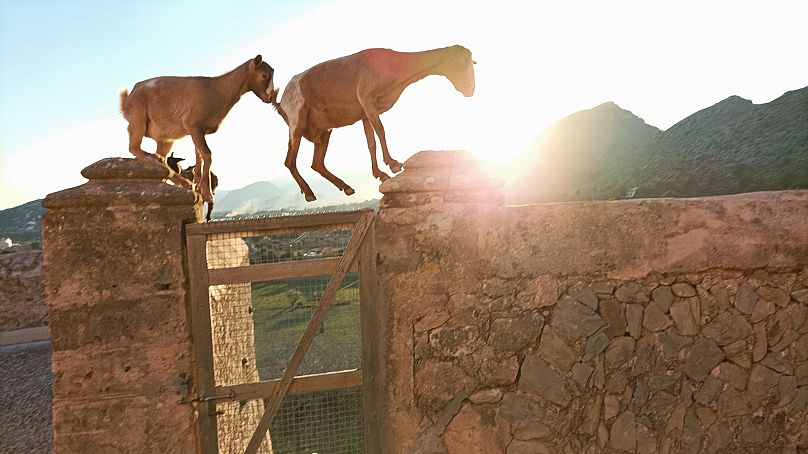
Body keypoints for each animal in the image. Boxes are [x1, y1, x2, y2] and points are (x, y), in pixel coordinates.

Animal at [120, 56, 278, 204]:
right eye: (264, 75)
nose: (270, 98)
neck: (217, 90)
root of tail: (127, 99)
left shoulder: (199, 131)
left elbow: (199, 155)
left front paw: (197, 184)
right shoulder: (193, 125)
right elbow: (207, 154)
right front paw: (207, 194)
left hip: (165, 137)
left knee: (162, 158)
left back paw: (181, 180)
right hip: (138, 117)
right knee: (134, 147)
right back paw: (155, 160)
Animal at [276, 44, 476, 200]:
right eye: (461, 64)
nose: (470, 89)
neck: (393, 65)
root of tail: (281, 102)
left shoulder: (365, 112)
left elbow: (370, 142)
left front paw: (380, 173)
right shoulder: (366, 98)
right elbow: (380, 129)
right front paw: (393, 164)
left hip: (324, 129)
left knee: (317, 163)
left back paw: (346, 187)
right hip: (297, 121)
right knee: (289, 161)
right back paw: (309, 192)